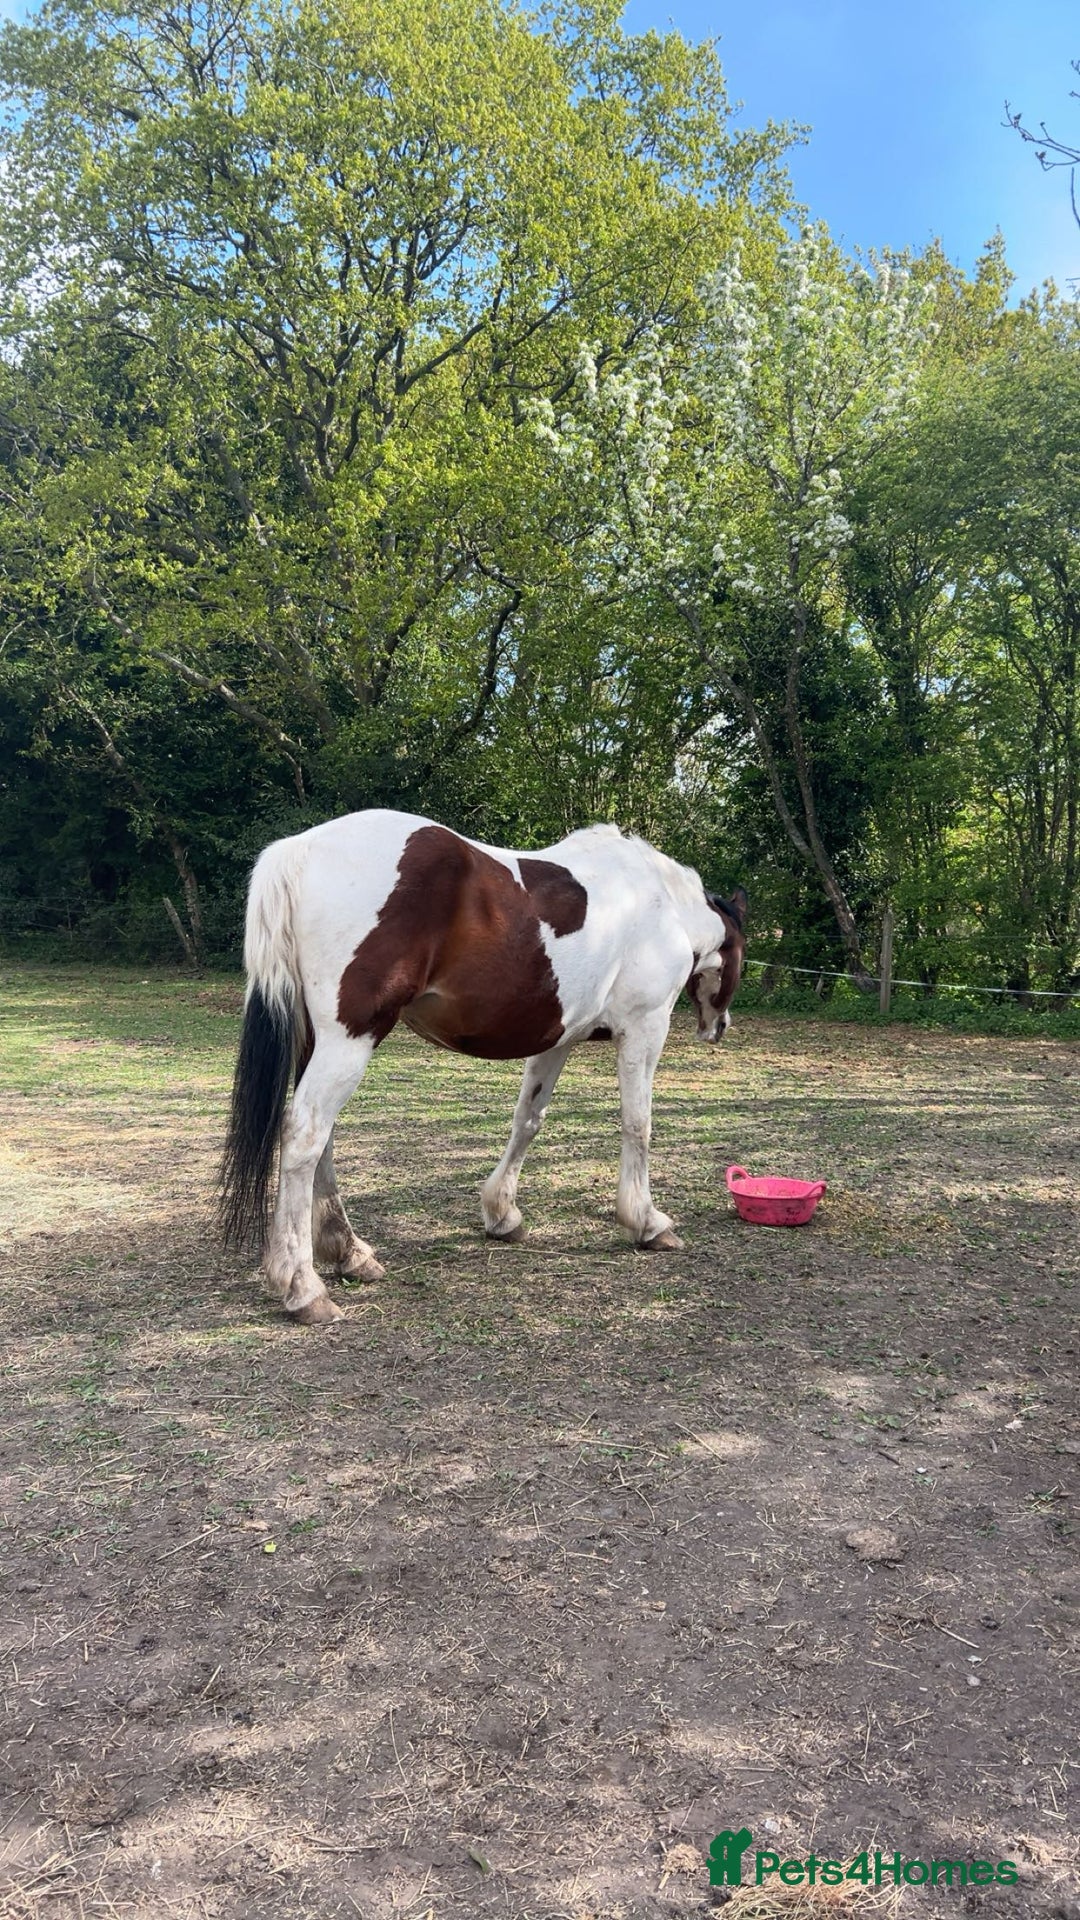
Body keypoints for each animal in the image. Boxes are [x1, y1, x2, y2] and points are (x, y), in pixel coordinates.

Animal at [219, 809, 747, 1324]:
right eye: (739, 952)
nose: (718, 1026)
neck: (661, 905)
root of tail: (300, 849)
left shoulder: (556, 1040)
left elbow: (528, 1120)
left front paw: (502, 1215)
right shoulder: (644, 1028)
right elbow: (638, 1124)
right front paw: (647, 1222)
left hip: (318, 1043)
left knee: (321, 1141)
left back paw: (349, 1253)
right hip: (349, 1040)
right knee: (305, 1134)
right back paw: (302, 1287)